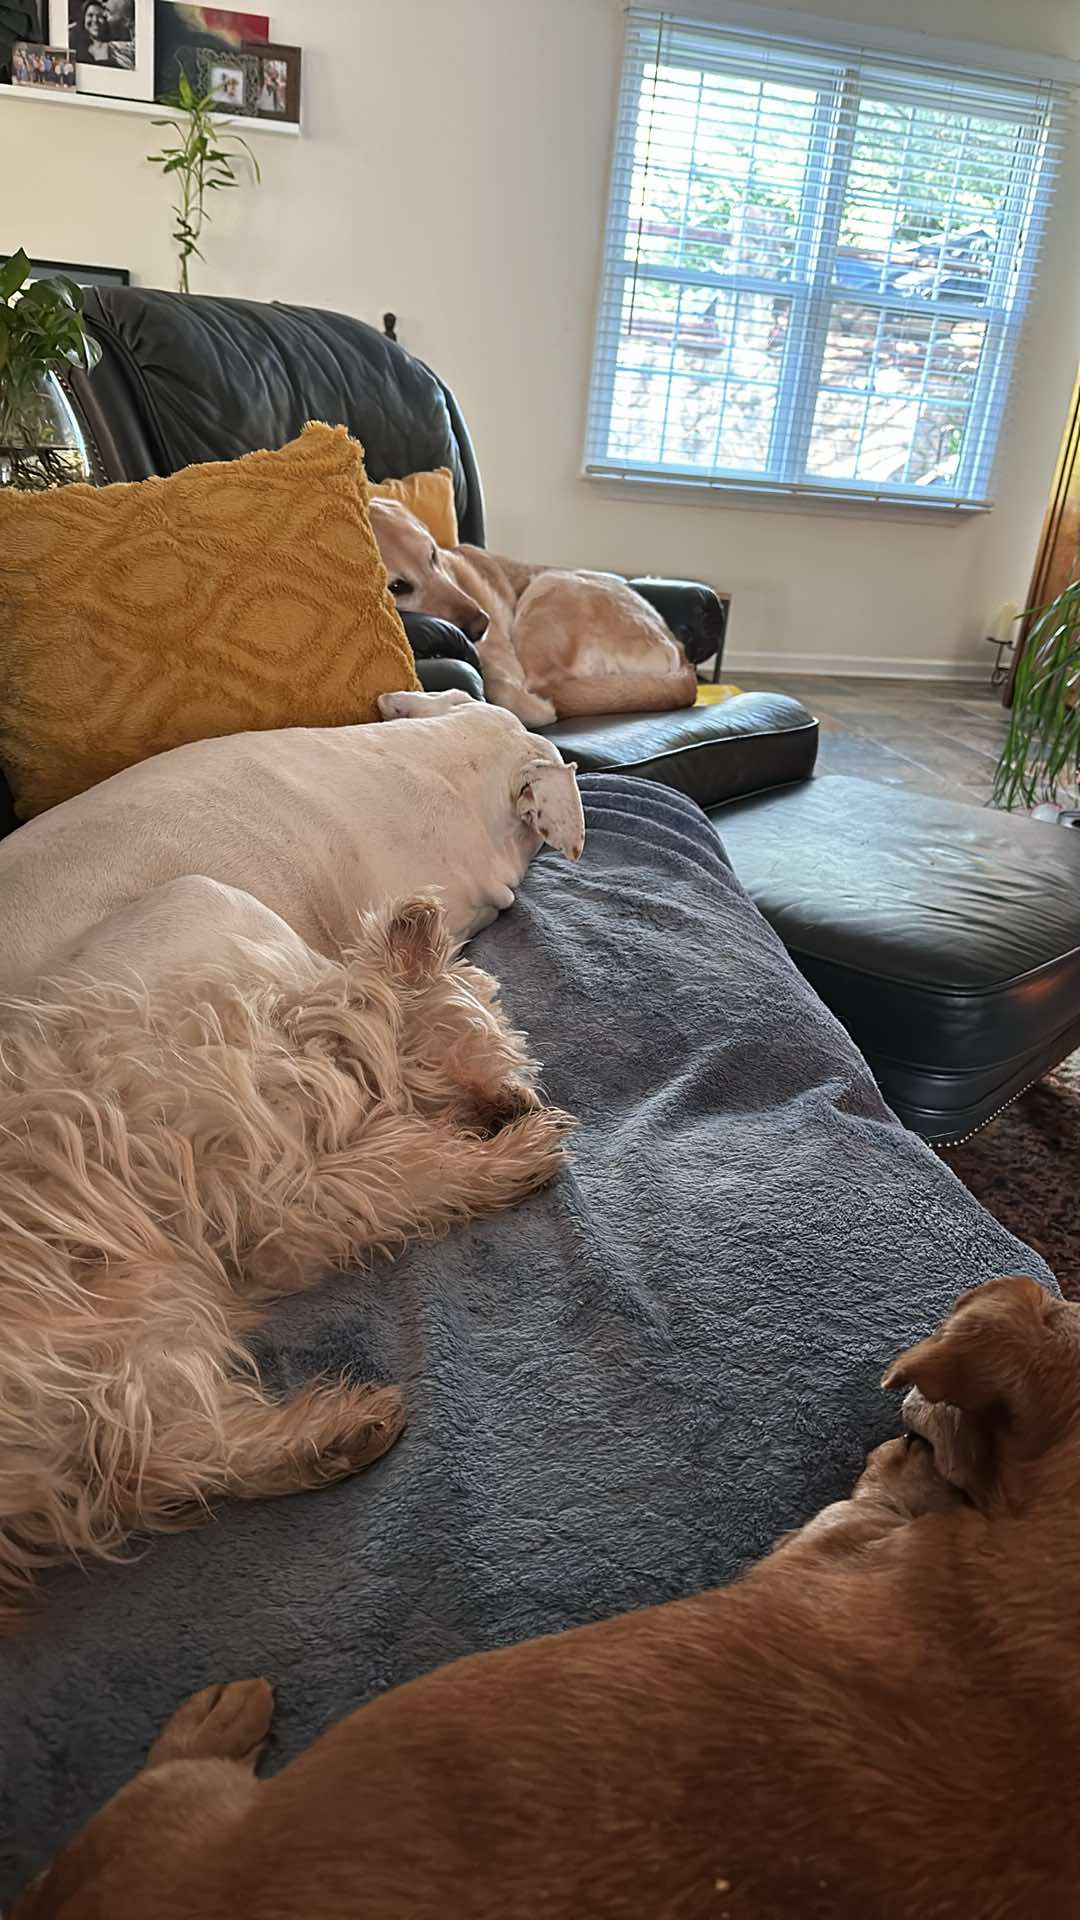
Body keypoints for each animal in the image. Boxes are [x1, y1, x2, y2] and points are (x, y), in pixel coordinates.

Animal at [0, 888, 572, 1628]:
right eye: (494, 1028)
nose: (520, 1100)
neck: (319, 1036)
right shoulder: (282, 1192)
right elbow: (411, 1170)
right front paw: (511, 1157)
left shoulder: (288, 1229)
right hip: (136, 1289)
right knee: (153, 1454)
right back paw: (331, 1433)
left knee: (147, 1465)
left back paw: (330, 1440)